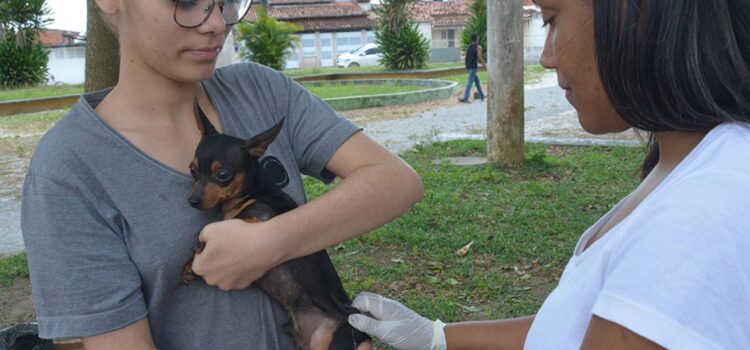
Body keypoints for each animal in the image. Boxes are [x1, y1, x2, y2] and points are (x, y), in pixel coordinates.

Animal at [182, 99, 370, 350]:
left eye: (222, 174)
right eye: (192, 170)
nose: (192, 201)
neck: (252, 190)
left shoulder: (264, 213)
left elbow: (236, 218)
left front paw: (201, 246)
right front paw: (187, 266)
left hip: (337, 341)